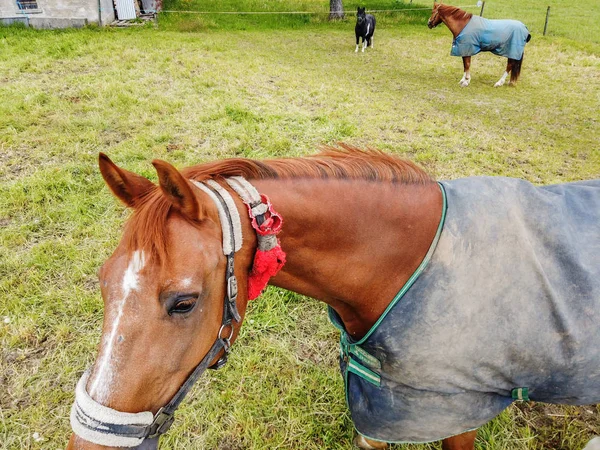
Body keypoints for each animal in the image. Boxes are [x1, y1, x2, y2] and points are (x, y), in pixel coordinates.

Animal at [68, 148, 600, 450]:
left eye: (183, 302)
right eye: (103, 281)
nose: (87, 444)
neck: (411, 266)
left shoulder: (456, 415)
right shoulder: (378, 411)